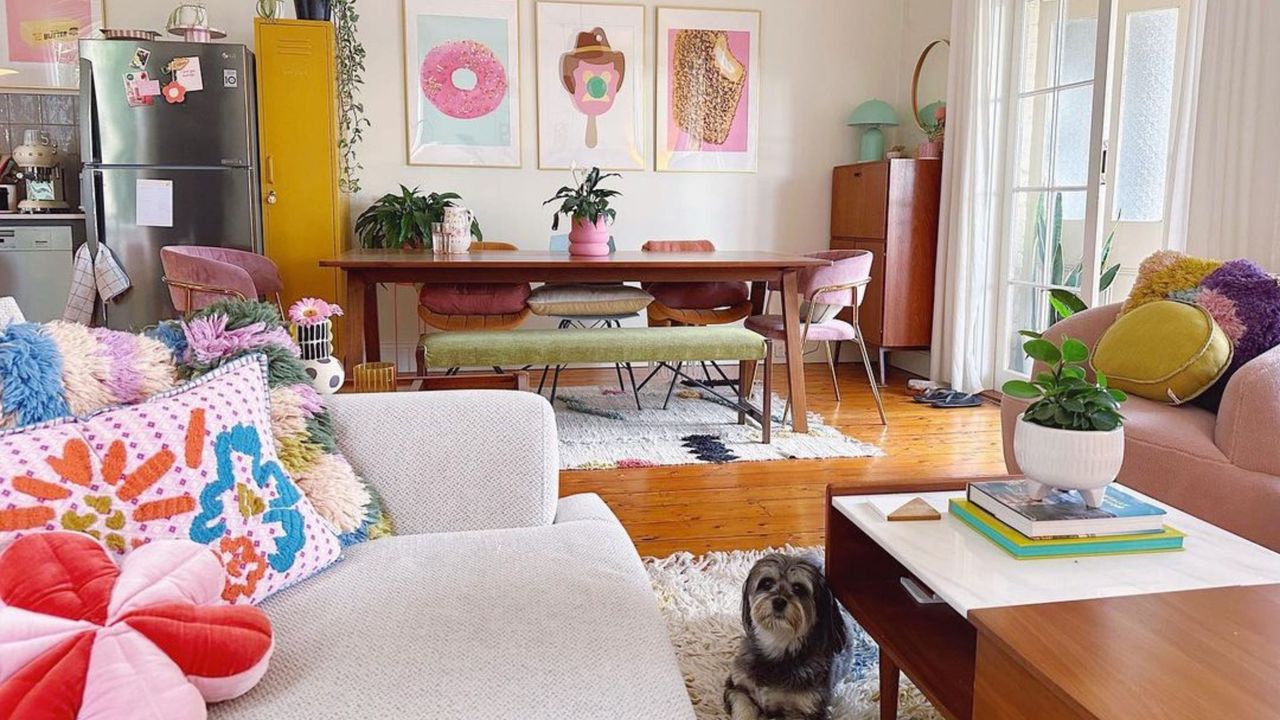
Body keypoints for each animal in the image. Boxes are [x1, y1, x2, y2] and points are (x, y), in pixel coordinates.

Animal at [727, 550, 844, 712]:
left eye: (799, 588)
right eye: (766, 583)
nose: (778, 602)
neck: (777, 642)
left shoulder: (808, 707)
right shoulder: (737, 687)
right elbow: (743, 710)